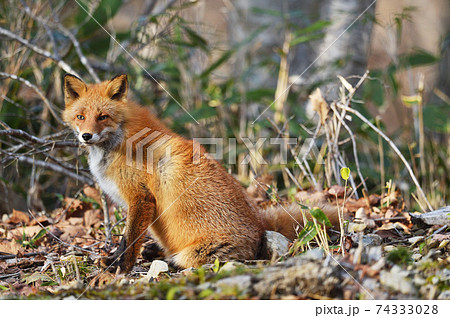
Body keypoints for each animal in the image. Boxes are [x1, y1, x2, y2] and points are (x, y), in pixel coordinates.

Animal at [62, 74, 338, 274]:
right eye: (80, 116)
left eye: (103, 117)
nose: (86, 136)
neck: (119, 140)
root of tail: (261, 226)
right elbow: (127, 240)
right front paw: (114, 261)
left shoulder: (140, 198)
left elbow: (128, 240)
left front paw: (118, 267)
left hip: (199, 252)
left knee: (185, 261)